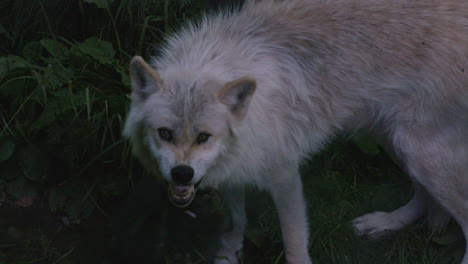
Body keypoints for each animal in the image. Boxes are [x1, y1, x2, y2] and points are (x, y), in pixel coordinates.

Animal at [121, 1, 468, 262]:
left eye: (203, 137)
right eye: (165, 133)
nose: (182, 174)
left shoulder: (285, 176)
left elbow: (294, 244)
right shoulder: (234, 168)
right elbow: (238, 219)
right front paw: (229, 253)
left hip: (420, 154)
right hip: (394, 141)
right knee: (423, 196)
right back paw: (383, 223)